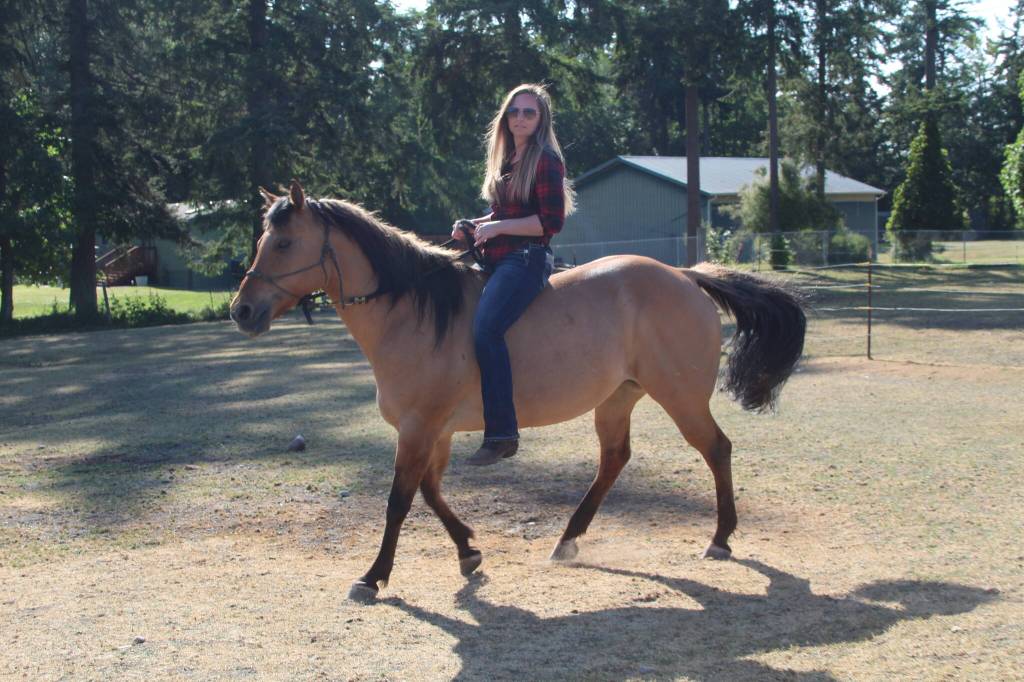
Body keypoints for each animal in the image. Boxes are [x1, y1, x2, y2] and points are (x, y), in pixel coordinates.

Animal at [230, 181, 806, 603]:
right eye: (262, 242)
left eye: (284, 243)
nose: (242, 310)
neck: (414, 312)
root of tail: (685, 275)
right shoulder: (434, 432)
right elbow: (430, 492)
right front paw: (468, 552)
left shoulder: (418, 428)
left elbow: (398, 501)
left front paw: (373, 577)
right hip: (617, 398)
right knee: (614, 460)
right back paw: (568, 539)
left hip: (680, 397)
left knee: (716, 449)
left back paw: (720, 538)